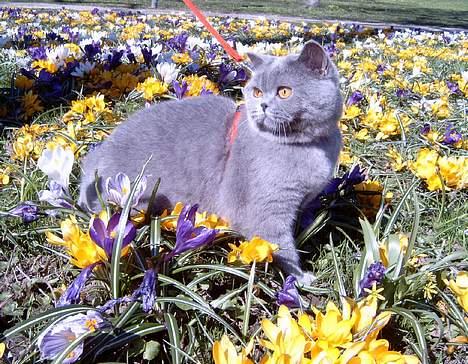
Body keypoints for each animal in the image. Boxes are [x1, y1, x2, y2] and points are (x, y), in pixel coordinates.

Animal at [78, 40, 342, 284]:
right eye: (257, 92)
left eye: (284, 92)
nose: (262, 104)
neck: (310, 147)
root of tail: (92, 161)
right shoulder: (266, 207)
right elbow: (280, 245)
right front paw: (301, 278)